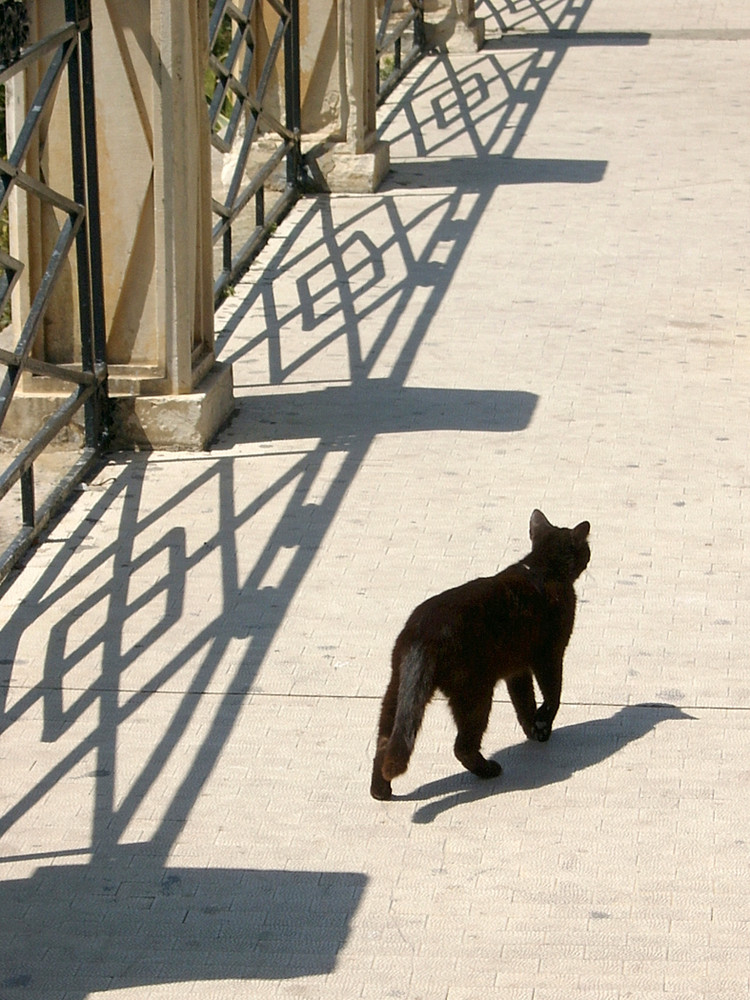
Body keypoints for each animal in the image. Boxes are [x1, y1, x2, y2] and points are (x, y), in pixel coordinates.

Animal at [374, 512, 592, 800]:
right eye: (586, 548)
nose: (590, 554)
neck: (542, 568)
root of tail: (420, 635)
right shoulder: (550, 654)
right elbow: (552, 694)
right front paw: (543, 724)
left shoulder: (517, 669)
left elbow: (524, 702)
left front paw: (533, 729)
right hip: (475, 693)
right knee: (462, 747)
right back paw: (489, 770)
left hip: (395, 691)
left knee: (385, 741)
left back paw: (380, 791)